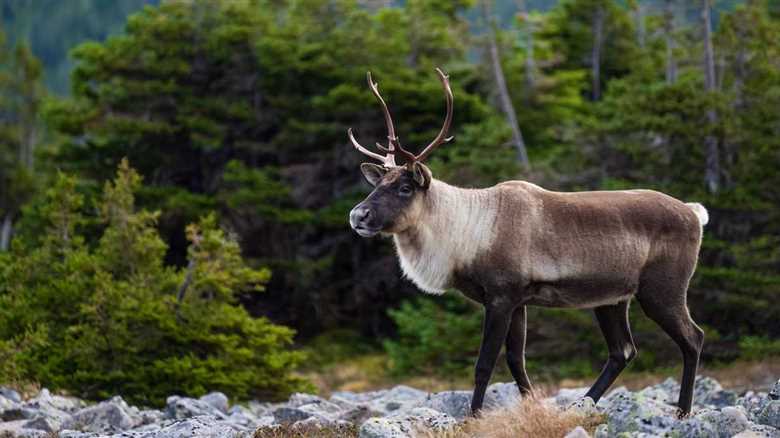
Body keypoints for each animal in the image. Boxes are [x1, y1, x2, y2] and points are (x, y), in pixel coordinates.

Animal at [347, 68, 708, 417]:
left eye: (405, 188)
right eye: (378, 184)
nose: (357, 215)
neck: (465, 235)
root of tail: (694, 213)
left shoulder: (501, 296)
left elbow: (485, 364)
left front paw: (473, 417)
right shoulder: (518, 302)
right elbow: (515, 360)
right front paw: (533, 406)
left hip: (662, 289)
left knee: (693, 338)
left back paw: (683, 412)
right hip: (612, 298)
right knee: (623, 351)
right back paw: (583, 404)